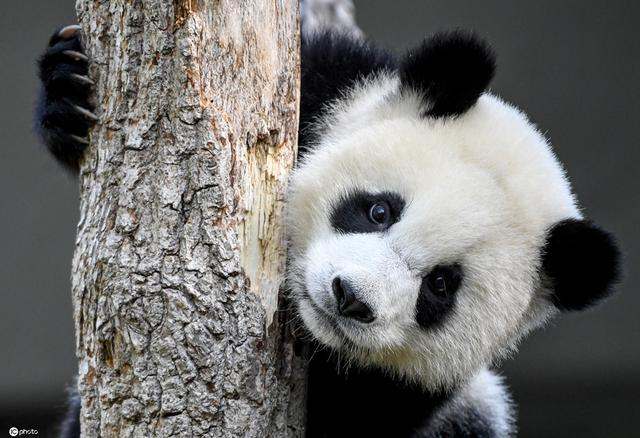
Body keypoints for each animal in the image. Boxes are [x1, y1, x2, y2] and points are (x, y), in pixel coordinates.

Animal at [36, 24, 620, 438]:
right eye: (379, 211)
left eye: (440, 286)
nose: (350, 298)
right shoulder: (329, 82)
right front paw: (67, 92)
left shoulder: (403, 393)